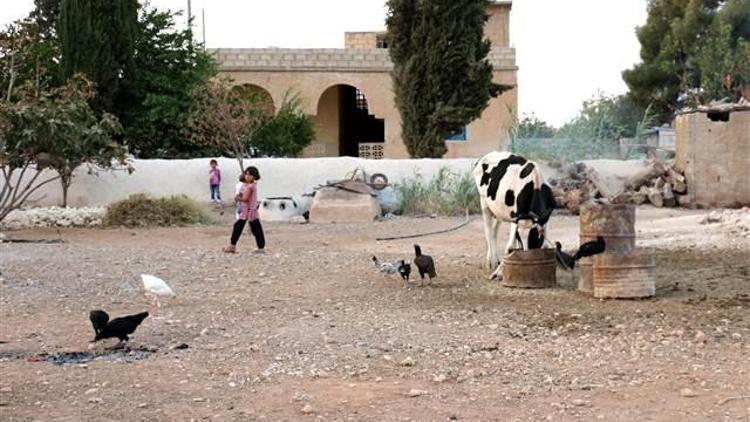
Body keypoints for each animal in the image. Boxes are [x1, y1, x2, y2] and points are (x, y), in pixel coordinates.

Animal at [476, 152, 560, 280]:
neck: (535, 184)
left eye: (535, 237)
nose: (528, 258)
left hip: (500, 210)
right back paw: (491, 261)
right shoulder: (516, 216)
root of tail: (485, 156)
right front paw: (499, 272)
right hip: (484, 203)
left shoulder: (546, 215)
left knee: (494, 231)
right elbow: (510, 245)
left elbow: (545, 240)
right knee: (488, 231)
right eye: (519, 238)